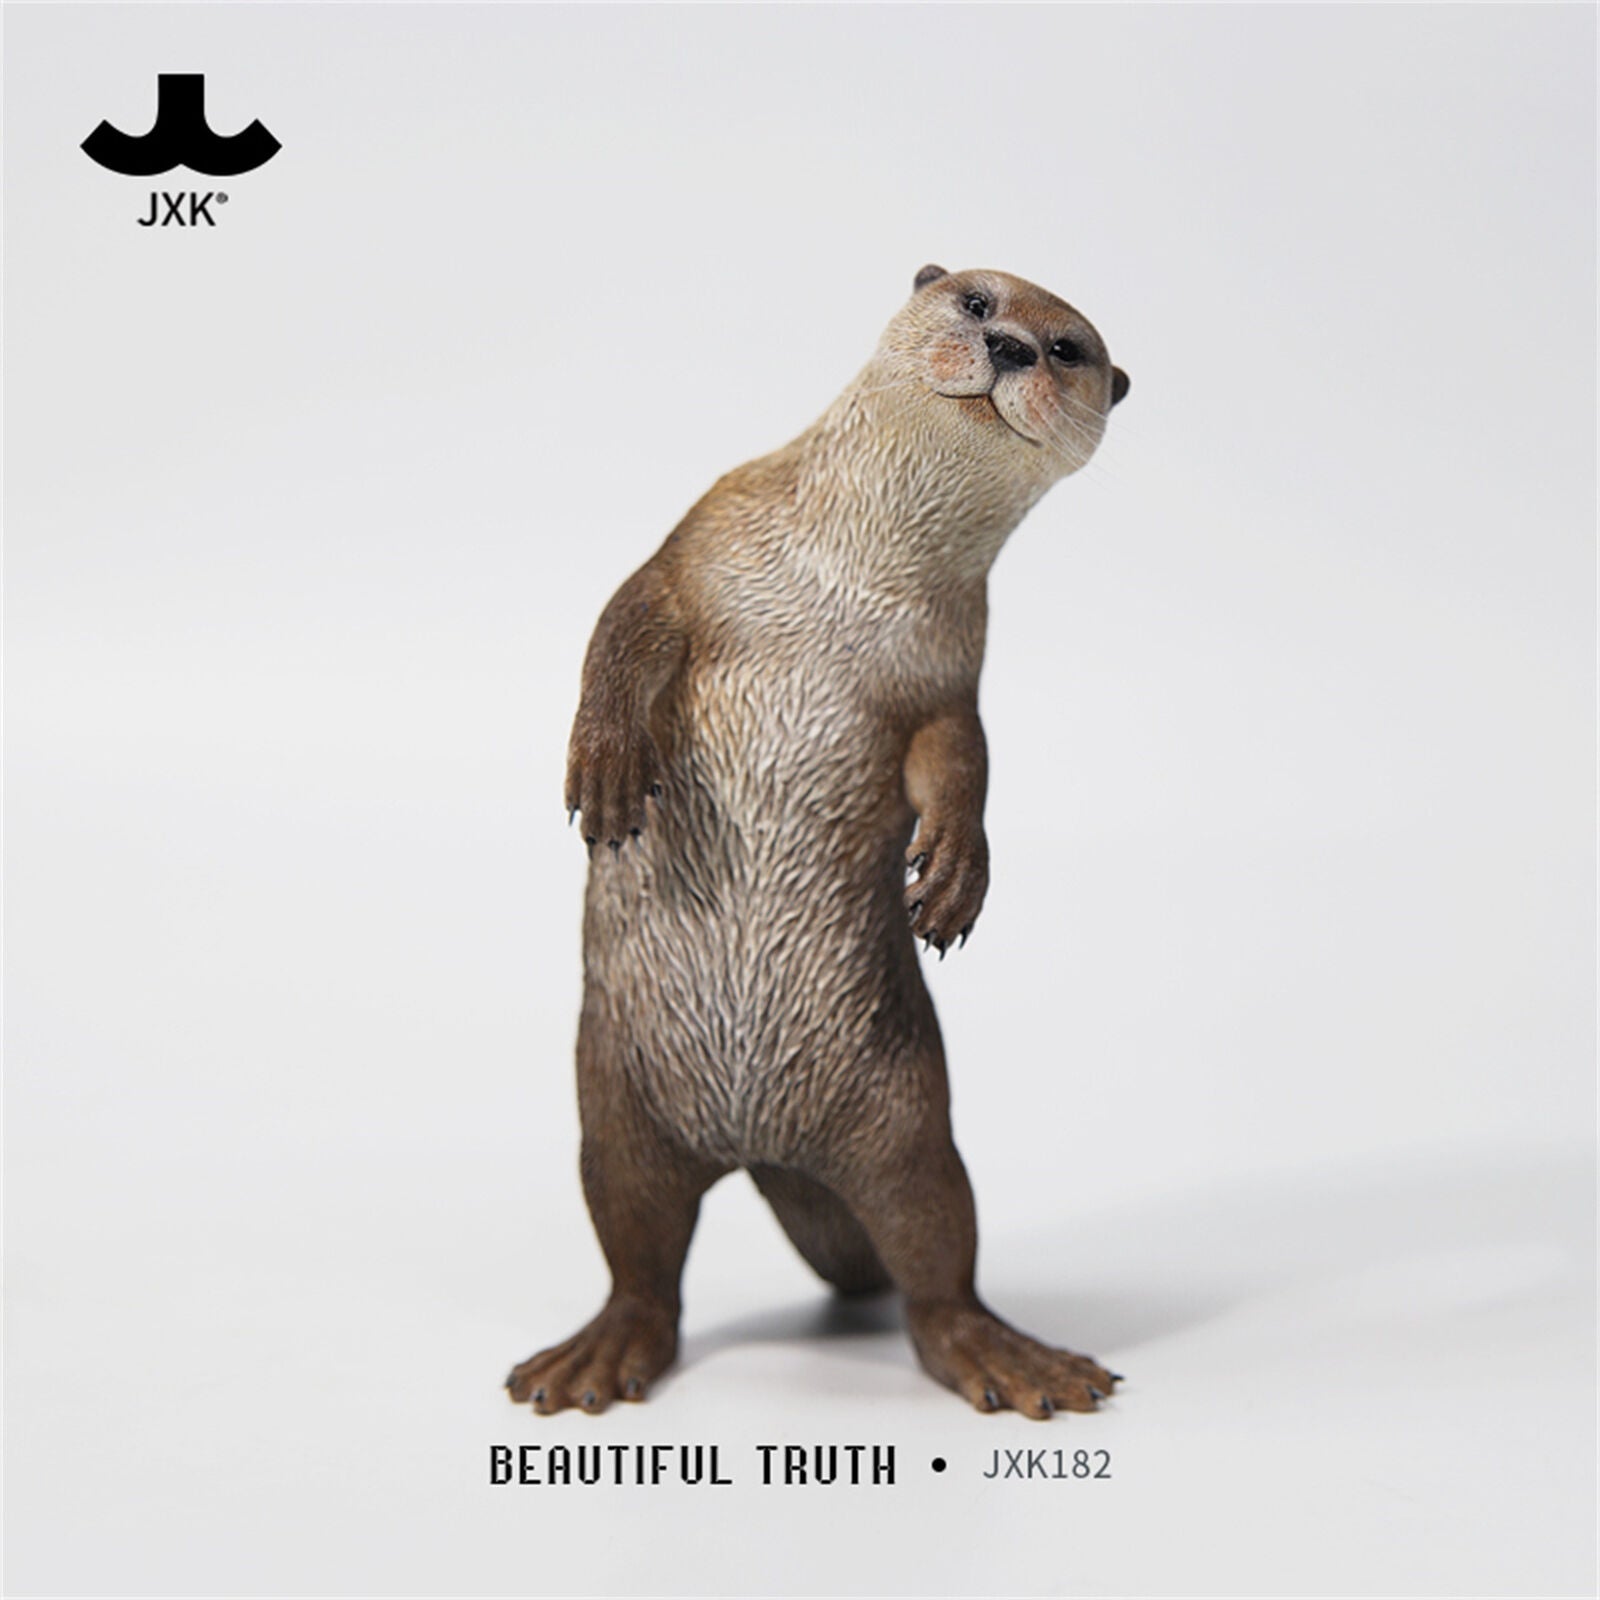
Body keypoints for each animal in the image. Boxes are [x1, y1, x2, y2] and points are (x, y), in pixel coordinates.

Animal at [507, 265, 1129, 1418]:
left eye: (1069, 348)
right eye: (977, 301)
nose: (1013, 348)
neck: (847, 580)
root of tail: (763, 1149)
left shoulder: (948, 666)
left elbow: (959, 757)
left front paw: (957, 875)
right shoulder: (700, 542)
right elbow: (623, 621)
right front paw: (605, 767)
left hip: (907, 1122)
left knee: (937, 1262)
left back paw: (1006, 1357)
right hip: (616, 1109)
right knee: (638, 1255)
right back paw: (596, 1355)